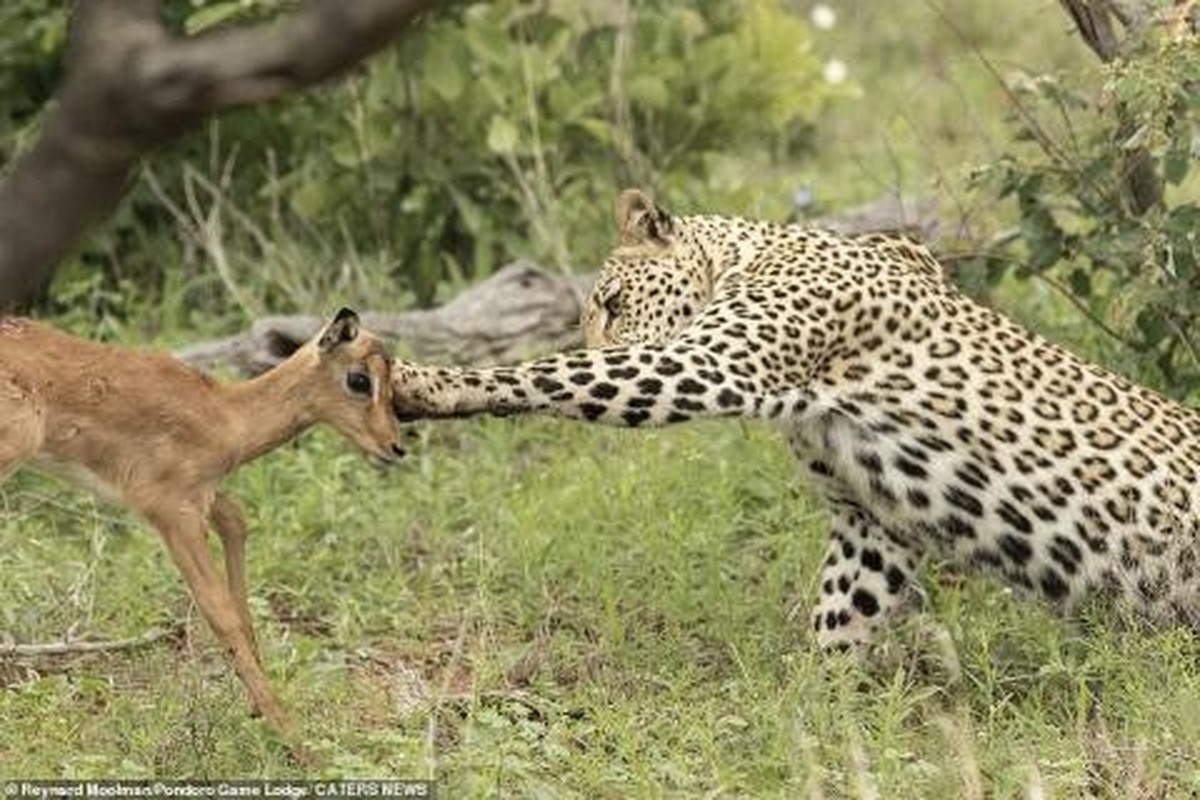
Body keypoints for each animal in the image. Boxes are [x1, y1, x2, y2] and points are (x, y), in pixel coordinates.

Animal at [391, 190, 1200, 652]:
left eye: (613, 304)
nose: (601, 333)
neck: (752, 250)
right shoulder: (872, 518)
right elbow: (843, 612)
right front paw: (817, 718)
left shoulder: (705, 365)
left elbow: (545, 373)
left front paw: (415, 381)